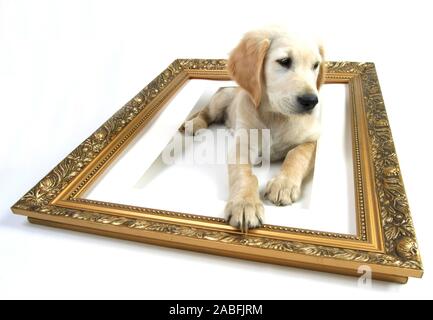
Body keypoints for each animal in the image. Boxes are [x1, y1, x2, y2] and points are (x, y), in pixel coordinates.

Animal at [182, 27, 324, 231]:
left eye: (315, 65)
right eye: (284, 61)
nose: (311, 101)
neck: (276, 116)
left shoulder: (313, 139)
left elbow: (297, 154)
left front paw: (284, 184)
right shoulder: (242, 146)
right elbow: (244, 175)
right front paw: (245, 204)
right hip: (222, 98)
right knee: (206, 111)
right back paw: (196, 123)